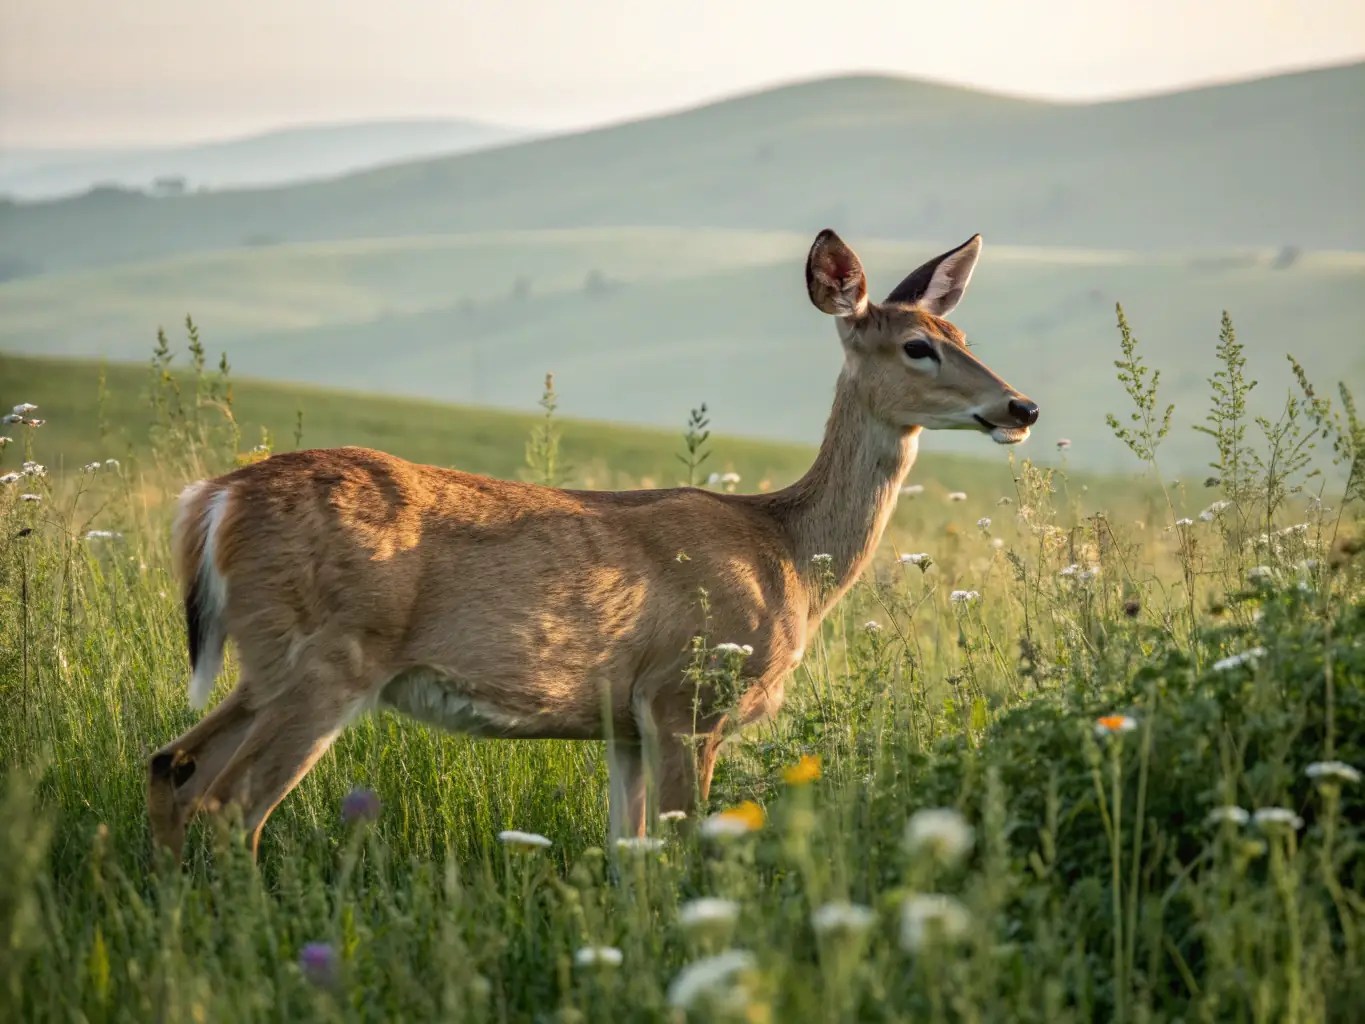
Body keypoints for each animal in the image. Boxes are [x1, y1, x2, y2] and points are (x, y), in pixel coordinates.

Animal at [146, 228, 1039, 861]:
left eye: (960, 330)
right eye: (916, 346)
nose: (1020, 406)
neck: (785, 550)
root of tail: (214, 499)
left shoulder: (625, 722)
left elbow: (627, 853)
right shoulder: (686, 696)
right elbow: (680, 849)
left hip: (266, 662)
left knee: (171, 765)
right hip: (329, 660)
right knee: (230, 805)